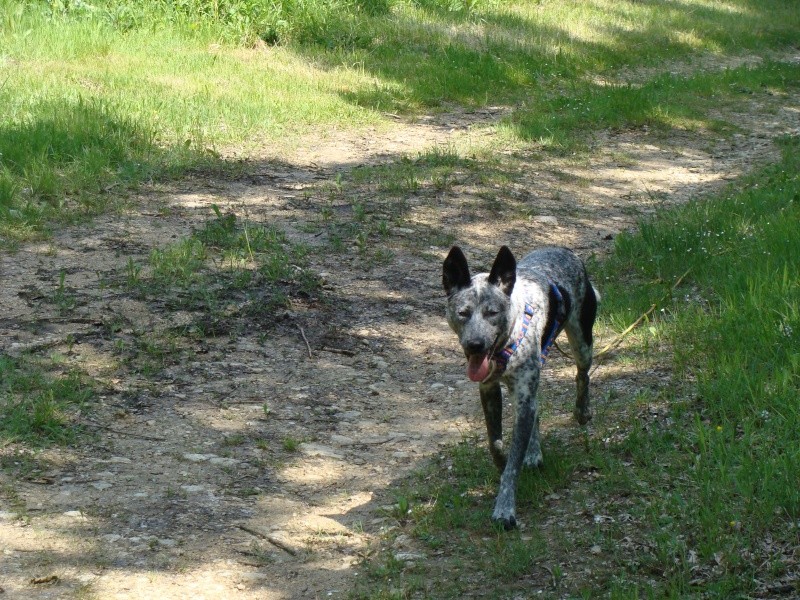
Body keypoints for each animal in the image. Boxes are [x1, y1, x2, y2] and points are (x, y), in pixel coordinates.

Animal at [440, 245, 596, 528]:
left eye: (492, 312)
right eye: (462, 313)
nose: (475, 345)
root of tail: (564, 250)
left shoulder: (522, 398)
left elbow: (513, 462)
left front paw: (505, 507)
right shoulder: (489, 391)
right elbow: (497, 445)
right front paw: (504, 465)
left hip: (581, 342)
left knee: (582, 375)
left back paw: (582, 411)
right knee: (536, 411)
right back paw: (534, 452)